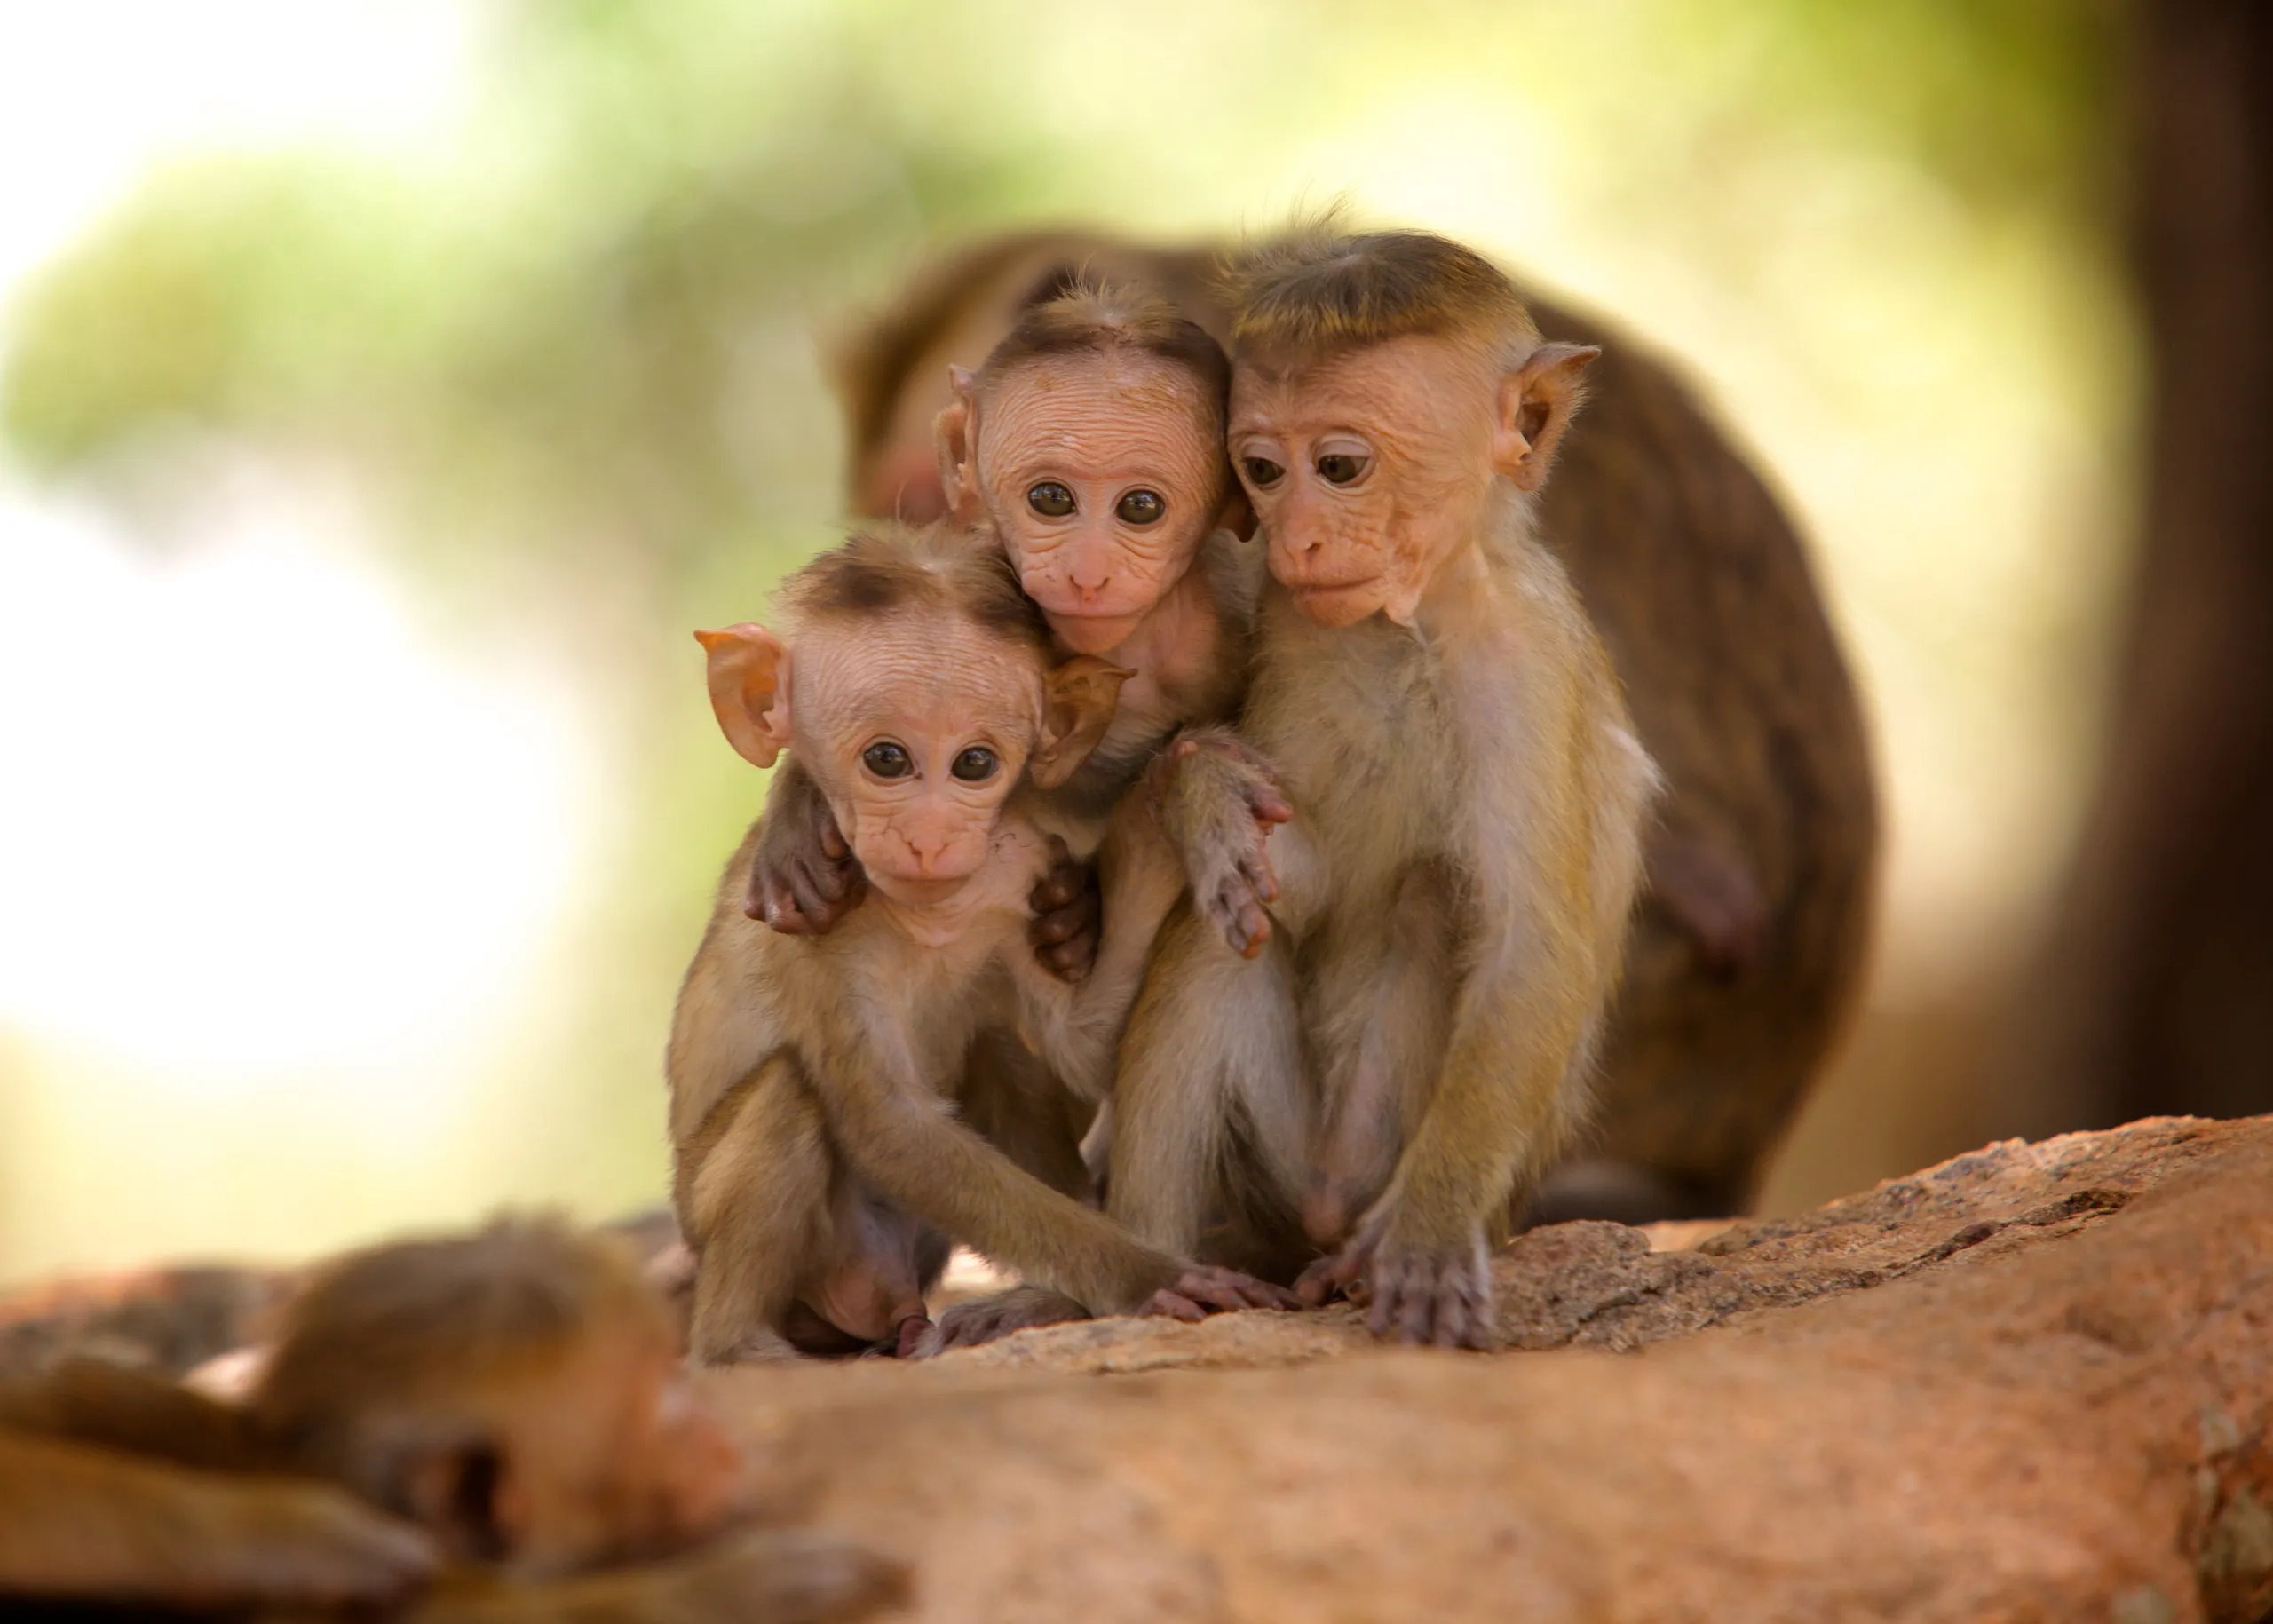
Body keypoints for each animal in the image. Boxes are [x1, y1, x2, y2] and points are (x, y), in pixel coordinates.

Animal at [663, 519, 1291, 1355]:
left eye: (975, 763)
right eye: (887, 758)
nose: (930, 837)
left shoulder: (1016, 872)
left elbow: (1083, 1045)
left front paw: (1183, 779)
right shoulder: (815, 925)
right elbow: (895, 1129)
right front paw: (1152, 1275)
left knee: (997, 1047)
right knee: (792, 1090)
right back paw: (741, 1346)